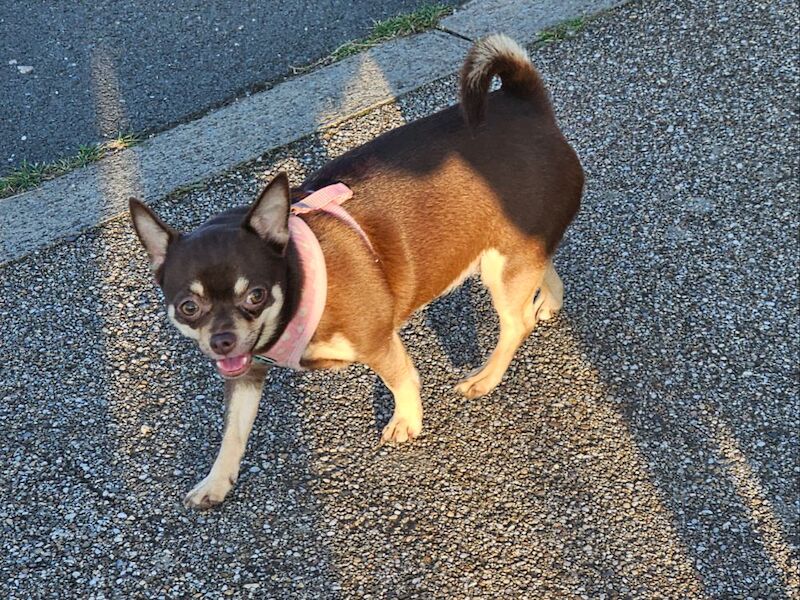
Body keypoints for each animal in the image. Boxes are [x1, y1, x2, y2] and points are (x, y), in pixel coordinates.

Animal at [130, 35, 580, 508]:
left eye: (255, 295)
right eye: (188, 306)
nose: (222, 341)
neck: (296, 282)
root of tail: (523, 102)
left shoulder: (377, 342)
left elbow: (403, 379)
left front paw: (407, 422)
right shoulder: (246, 373)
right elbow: (233, 433)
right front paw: (216, 482)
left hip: (501, 265)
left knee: (516, 323)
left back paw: (487, 377)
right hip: (517, 250)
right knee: (545, 267)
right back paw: (548, 301)